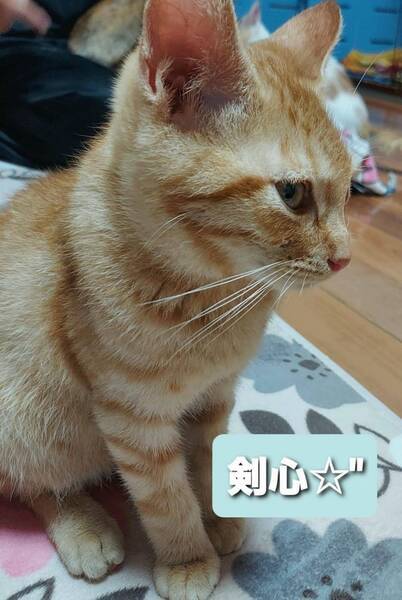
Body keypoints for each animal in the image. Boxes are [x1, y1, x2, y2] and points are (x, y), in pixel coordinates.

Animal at [0, 1, 351, 599]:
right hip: (26, 422)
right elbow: (166, 499)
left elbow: (207, 460)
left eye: (350, 190)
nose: (345, 258)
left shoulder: (215, 398)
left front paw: (217, 516)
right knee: (32, 482)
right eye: (292, 194)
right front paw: (188, 558)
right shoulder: (131, 419)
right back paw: (84, 527)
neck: (214, 296)